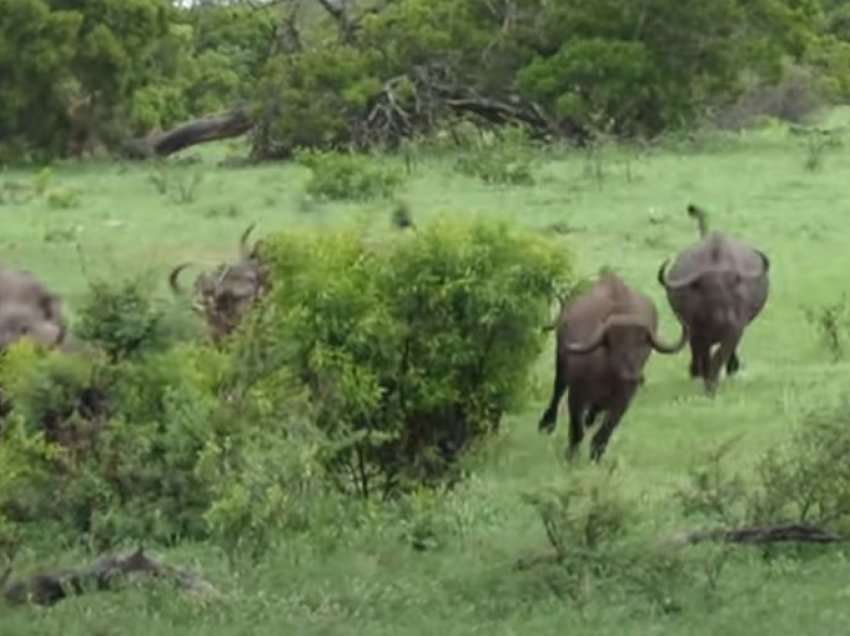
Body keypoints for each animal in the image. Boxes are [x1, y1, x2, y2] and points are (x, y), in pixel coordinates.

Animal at [540, 270, 684, 460]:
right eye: (614, 343)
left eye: (643, 344)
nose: (632, 376)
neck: (607, 376)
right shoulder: (577, 395)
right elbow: (577, 430)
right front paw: (571, 455)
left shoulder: (623, 401)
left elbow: (604, 433)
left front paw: (595, 456)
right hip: (561, 364)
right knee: (558, 390)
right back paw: (546, 424)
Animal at [656, 204, 768, 392]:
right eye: (706, 290)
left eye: (732, 288)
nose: (726, 318)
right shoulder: (697, 333)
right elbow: (704, 356)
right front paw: (704, 379)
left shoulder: (735, 330)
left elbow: (720, 355)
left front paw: (713, 383)